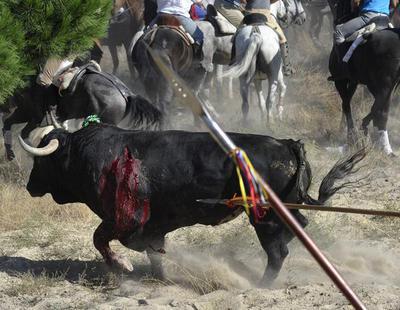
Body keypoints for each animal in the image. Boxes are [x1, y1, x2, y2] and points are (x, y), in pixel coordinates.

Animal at [1, 67, 161, 161]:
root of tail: (127, 95)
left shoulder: (33, 117)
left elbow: (22, 133)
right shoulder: (26, 114)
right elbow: (8, 125)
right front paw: (11, 154)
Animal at [23, 124, 364, 284]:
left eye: (42, 160)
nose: (29, 186)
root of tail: (286, 144)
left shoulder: (125, 219)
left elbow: (102, 239)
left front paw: (123, 265)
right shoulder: (153, 226)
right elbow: (154, 250)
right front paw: (157, 276)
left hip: (264, 218)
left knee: (277, 252)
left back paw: (262, 284)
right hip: (285, 212)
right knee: (299, 229)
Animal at [328, 0, 400, 155]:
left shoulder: (341, 80)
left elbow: (346, 104)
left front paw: (351, 136)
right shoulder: (358, 81)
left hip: (384, 83)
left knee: (380, 109)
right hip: (387, 85)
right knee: (382, 110)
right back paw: (385, 146)